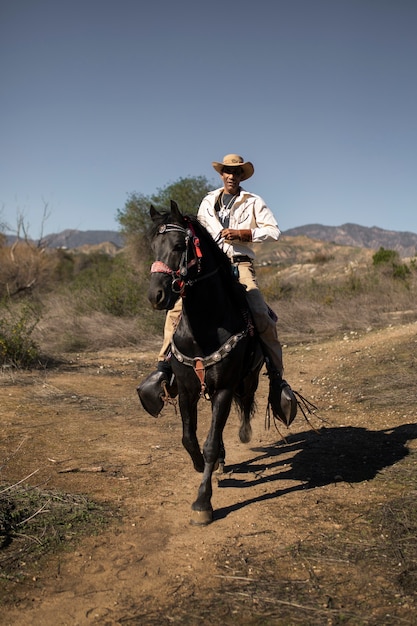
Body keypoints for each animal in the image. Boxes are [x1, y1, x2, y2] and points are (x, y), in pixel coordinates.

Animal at [146, 200, 280, 520]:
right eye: (152, 246)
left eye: (179, 245)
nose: (156, 295)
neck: (204, 327)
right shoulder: (187, 389)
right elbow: (189, 438)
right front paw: (199, 465)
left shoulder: (224, 389)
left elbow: (209, 442)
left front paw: (203, 502)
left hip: (249, 378)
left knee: (245, 405)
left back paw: (242, 434)